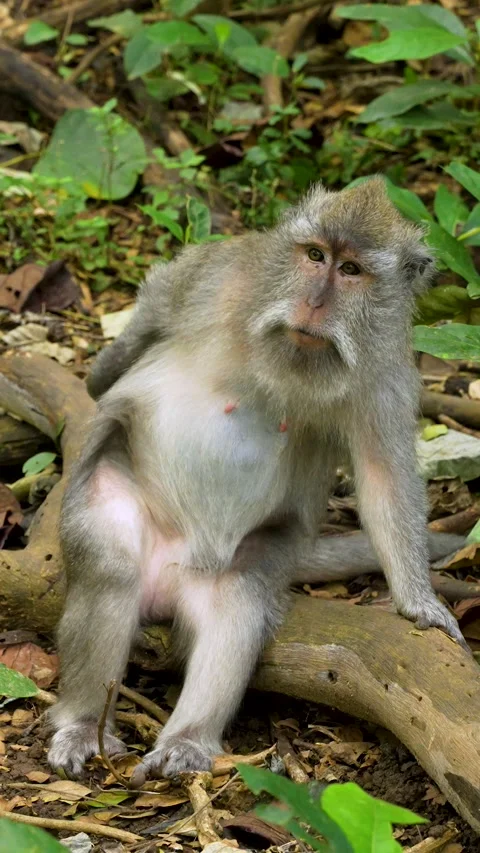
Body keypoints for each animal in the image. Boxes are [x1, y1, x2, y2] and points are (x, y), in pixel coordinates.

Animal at [48, 178, 467, 784]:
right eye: (314, 256)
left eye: (351, 270)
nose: (314, 303)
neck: (291, 356)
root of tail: (170, 574)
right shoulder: (226, 275)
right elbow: (158, 303)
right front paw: (101, 375)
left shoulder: (386, 370)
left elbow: (383, 475)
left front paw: (419, 603)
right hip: (116, 495)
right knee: (109, 566)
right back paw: (82, 723)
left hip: (246, 559)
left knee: (237, 603)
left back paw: (188, 740)